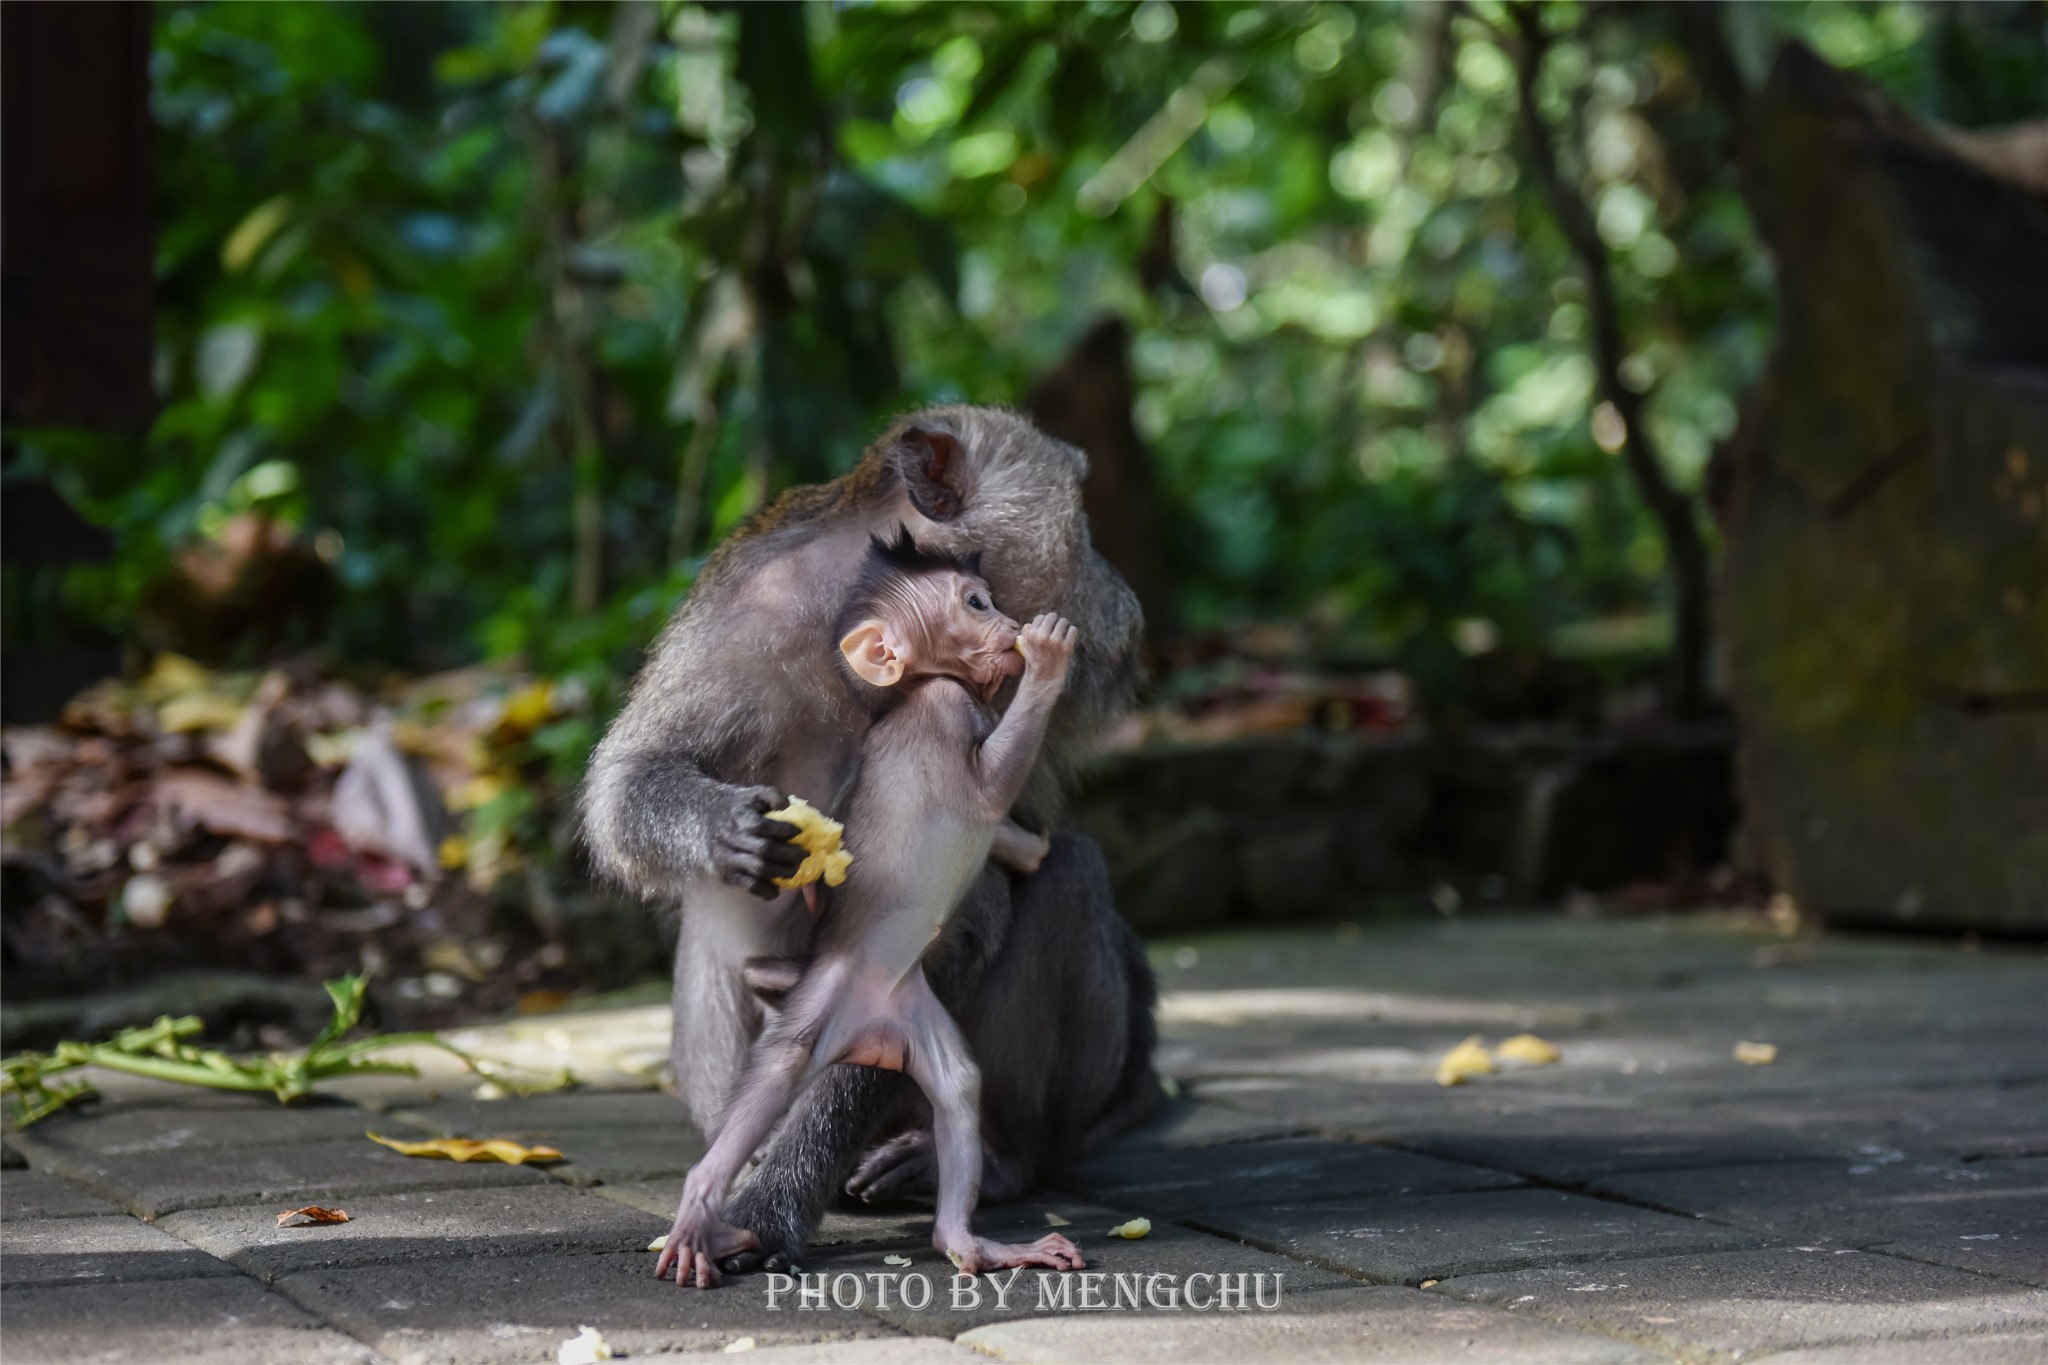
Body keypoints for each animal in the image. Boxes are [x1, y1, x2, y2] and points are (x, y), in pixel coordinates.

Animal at [659, 532, 1089, 1293]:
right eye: (975, 602)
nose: (1010, 622)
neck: (915, 690)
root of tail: (872, 1031)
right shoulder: (949, 707)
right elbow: (991, 786)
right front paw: (1048, 657)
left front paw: (1031, 848)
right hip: (824, 1004)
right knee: (776, 1073)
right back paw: (702, 1204)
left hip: (918, 1020)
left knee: (959, 1090)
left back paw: (969, 1240)